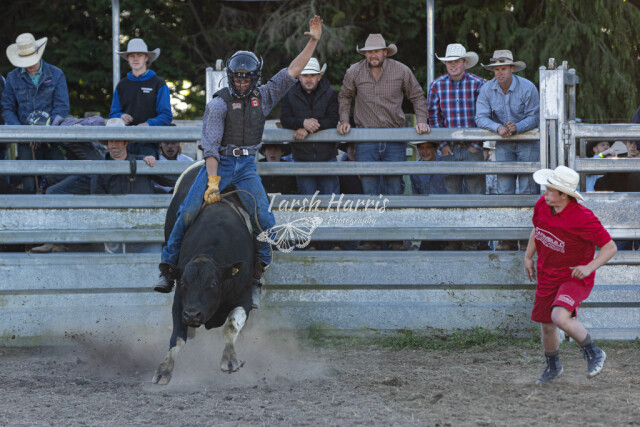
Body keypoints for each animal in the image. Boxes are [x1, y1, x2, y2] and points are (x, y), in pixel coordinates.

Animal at [152, 165, 255, 385]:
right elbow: (177, 337)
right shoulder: (180, 302)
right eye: (183, 283)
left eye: (214, 283)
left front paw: (229, 360)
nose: (192, 314)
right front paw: (164, 369)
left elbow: (232, 325)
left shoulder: (244, 296)